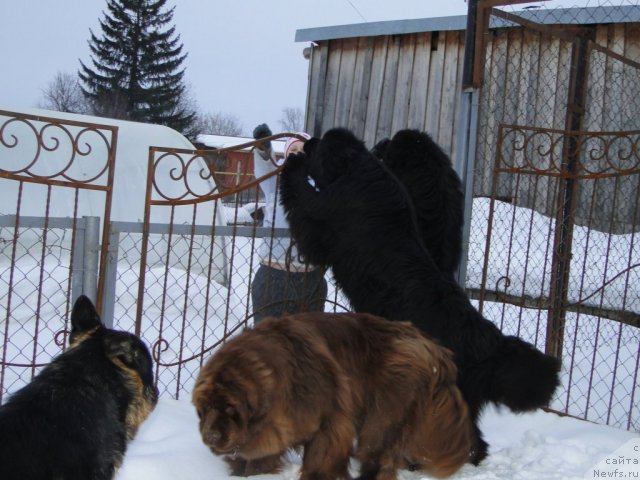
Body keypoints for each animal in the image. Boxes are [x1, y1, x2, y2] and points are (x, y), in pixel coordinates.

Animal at [190, 314, 470, 478]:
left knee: (377, 452)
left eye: (230, 408)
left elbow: (321, 455)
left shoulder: (329, 420)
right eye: (203, 409)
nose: (210, 436)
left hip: (385, 413)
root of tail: (433, 347)